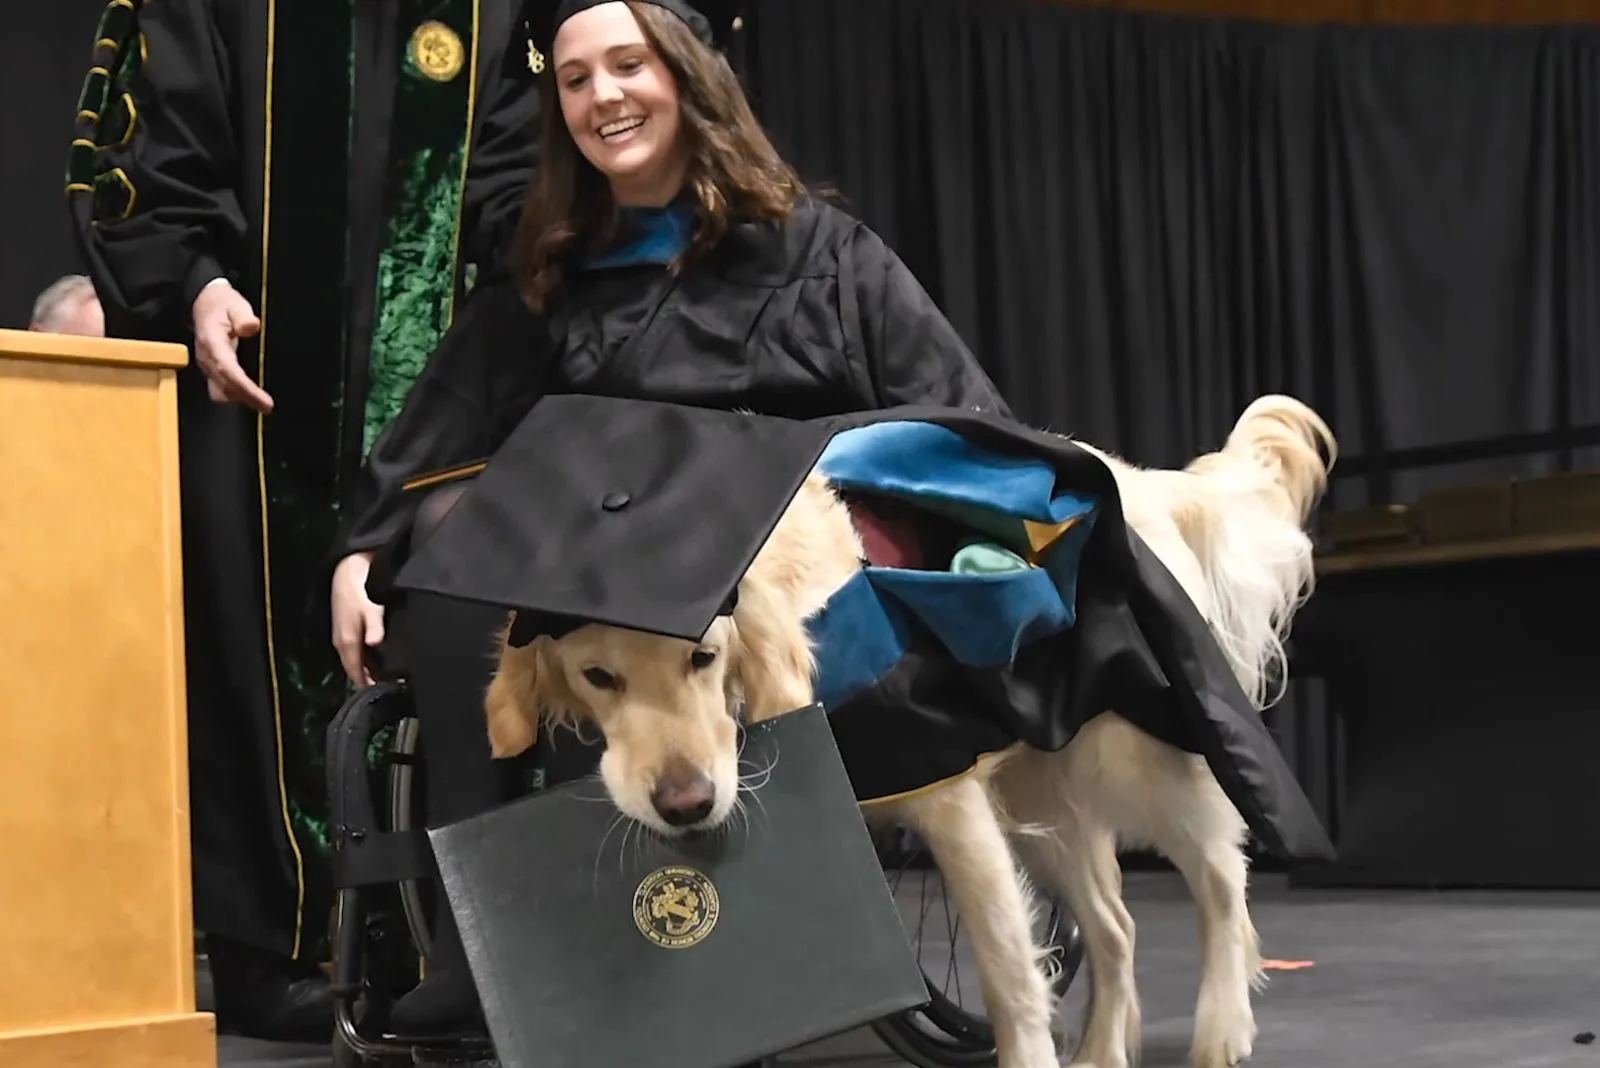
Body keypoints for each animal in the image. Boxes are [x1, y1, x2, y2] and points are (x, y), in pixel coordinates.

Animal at [480, 398, 1331, 1068]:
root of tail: (1130, 473)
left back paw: (1222, 1026)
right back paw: (1099, 1051)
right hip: (1042, 791)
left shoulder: (948, 796)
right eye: (599, 677)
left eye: (703, 656)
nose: (684, 804)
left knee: (1220, 875)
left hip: (1128, 749)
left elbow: (1009, 975)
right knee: (1116, 927)